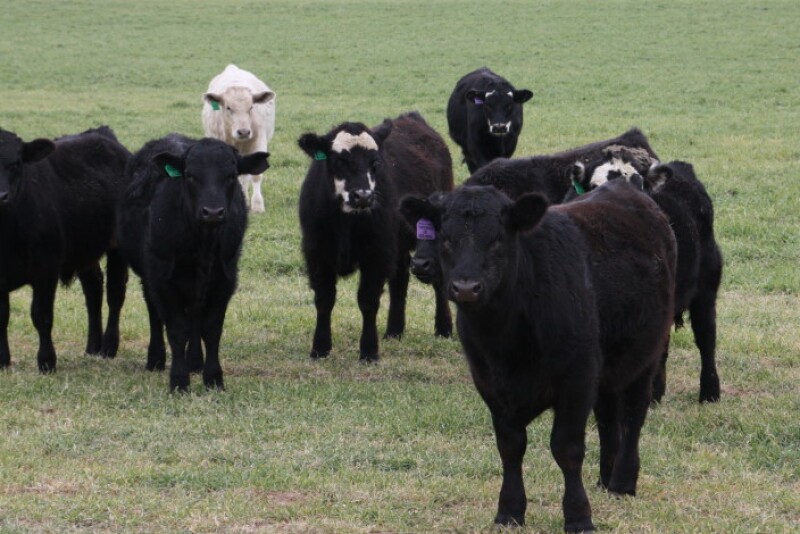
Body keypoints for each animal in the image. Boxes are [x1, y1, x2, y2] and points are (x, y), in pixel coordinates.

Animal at [0, 126, 130, 372]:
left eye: (16, 163)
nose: (1, 196)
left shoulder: (46, 269)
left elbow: (41, 316)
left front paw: (47, 361)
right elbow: (2, 317)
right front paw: (2, 361)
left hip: (117, 248)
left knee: (115, 293)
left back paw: (109, 346)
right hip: (84, 249)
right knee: (93, 289)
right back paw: (93, 346)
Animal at [117, 134, 269, 392]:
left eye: (231, 175)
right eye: (190, 175)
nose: (213, 212)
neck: (203, 245)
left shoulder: (225, 278)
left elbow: (212, 328)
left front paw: (213, 378)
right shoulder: (163, 279)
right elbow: (177, 330)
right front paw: (179, 381)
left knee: (195, 316)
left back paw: (195, 362)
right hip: (149, 276)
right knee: (154, 313)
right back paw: (156, 359)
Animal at [202, 64, 275, 214]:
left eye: (251, 107)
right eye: (228, 108)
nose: (244, 132)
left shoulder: (259, 143)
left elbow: (256, 175)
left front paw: (257, 205)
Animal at [298, 111, 454, 362]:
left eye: (375, 163)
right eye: (339, 161)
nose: (363, 196)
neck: (346, 222)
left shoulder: (377, 255)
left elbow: (368, 300)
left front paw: (369, 351)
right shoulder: (317, 254)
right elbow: (324, 299)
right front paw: (320, 348)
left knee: (437, 278)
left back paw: (443, 328)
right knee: (400, 279)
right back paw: (394, 331)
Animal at [401, 181, 676, 532]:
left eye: (498, 238)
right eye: (445, 238)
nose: (465, 287)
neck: (506, 338)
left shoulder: (577, 378)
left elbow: (566, 448)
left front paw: (578, 516)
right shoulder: (489, 382)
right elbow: (510, 446)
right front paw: (509, 510)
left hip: (647, 355)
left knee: (633, 415)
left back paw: (622, 482)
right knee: (607, 417)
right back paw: (605, 477)